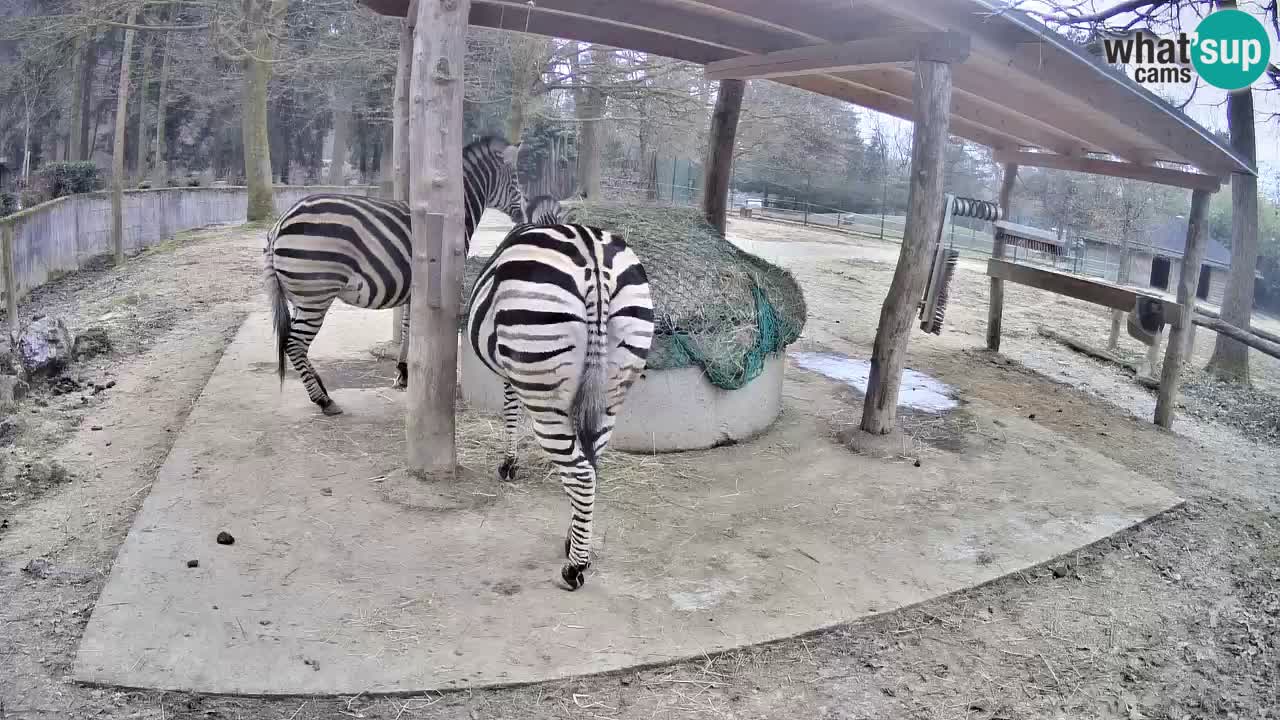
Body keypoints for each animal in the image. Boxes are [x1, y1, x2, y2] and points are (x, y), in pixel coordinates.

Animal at [264, 136, 526, 415]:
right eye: (516, 178)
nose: (522, 216)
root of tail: (279, 223)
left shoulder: (415, 289)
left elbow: (407, 326)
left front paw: (402, 371)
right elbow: (411, 328)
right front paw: (405, 371)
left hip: (301, 296)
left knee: (293, 343)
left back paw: (322, 390)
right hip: (315, 294)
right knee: (295, 344)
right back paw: (324, 400)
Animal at [465, 222, 654, 590]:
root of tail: (594, 257)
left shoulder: (511, 375)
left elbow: (510, 412)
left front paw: (509, 464)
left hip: (543, 387)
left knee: (580, 473)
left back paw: (574, 567)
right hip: (612, 391)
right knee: (591, 467)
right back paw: (577, 543)